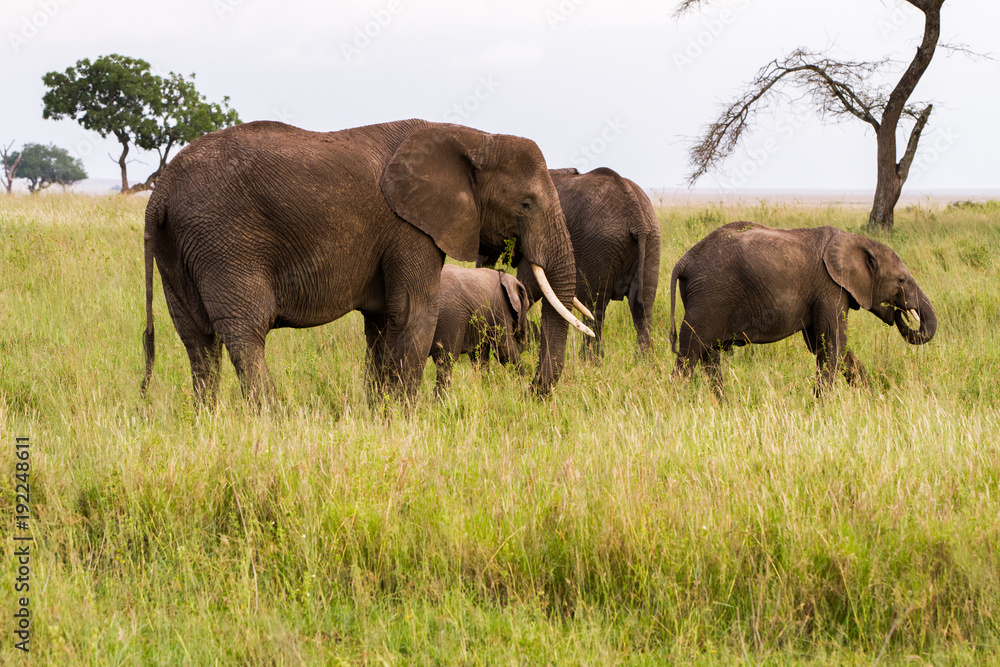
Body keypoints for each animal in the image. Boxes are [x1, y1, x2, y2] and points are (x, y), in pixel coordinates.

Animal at [430, 264, 530, 395]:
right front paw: (524, 390)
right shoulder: (501, 310)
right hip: (449, 317)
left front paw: (487, 388)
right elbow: (506, 352)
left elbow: (480, 356)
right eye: (527, 308)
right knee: (445, 361)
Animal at [480, 166, 661, 359]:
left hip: (602, 247)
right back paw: (643, 360)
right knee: (643, 306)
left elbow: (528, 286)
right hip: (652, 242)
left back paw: (590, 359)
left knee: (595, 306)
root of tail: (637, 217)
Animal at [669, 221, 937, 394]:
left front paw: (871, 399)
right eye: (901, 280)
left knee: (709, 356)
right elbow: (832, 343)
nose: (900, 313)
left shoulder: (822, 293)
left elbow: (830, 345)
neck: (857, 241)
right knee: (689, 353)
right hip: (708, 297)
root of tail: (684, 260)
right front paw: (821, 408)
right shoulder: (830, 288)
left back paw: (722, 404)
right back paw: (678, 402)